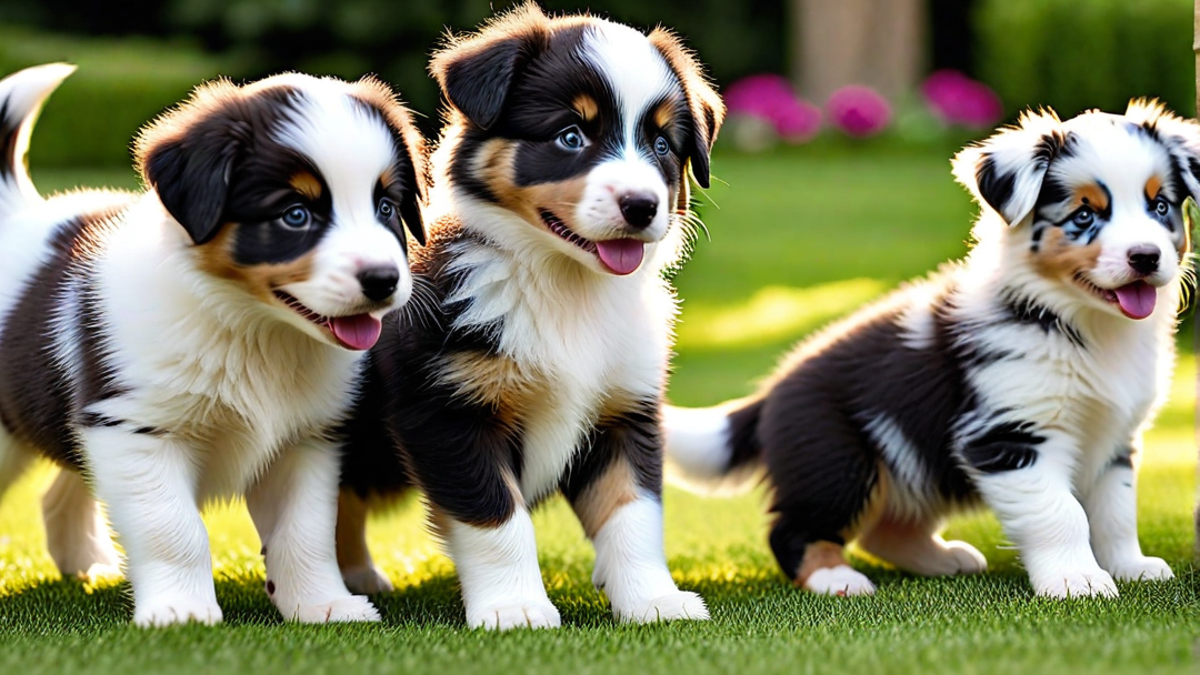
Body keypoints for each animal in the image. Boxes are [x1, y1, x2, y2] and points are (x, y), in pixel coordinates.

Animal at [0, 65, 427, 624]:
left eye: (386, 207)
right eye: (295, 215)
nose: (383, 280)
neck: (252, 327)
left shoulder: (307, 440)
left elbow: (307, 531)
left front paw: (323, 604)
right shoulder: (136, 428)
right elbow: (172, 529)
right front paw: (181, 610)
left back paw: (86, 564)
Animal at [338, 2, 724, 629]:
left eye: (663, 145)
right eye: (571, 136)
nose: (642, 207)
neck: (567, 287)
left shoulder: (624, 408)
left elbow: (634, 512)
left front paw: (653, 599)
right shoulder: (449, 411)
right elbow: (497, 518)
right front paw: (515, 607)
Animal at [667, 99, 1190, 593]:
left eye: (1161, 206)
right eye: (1085, 215)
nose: (1146, 257)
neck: (1084, 325)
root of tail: (770, 392)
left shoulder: (1114, 437)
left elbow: (1116, 513)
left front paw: (1131, 568)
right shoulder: (1009, 433)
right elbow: (1060, 513)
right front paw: (1076, 581)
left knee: (884, 530)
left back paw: (944, 559)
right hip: (838, 461)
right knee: (793, 530)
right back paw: (836, 578)